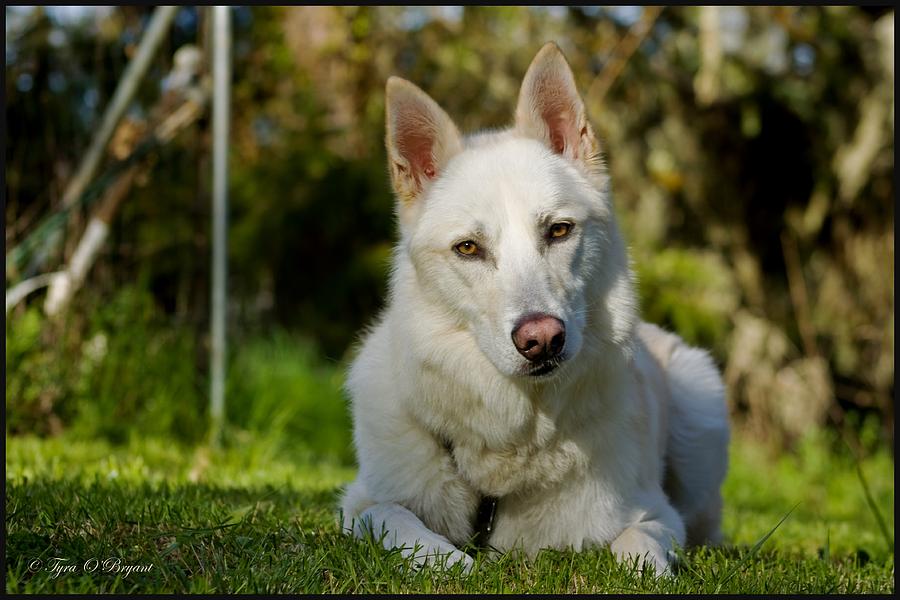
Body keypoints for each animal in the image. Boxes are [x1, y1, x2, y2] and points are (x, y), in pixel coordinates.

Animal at [342, 42, 728, 576]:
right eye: (468, 248)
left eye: (559, 230)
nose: (541, 339)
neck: (518, 436)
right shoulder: (360, 504)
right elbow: (406, 528)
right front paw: (460, 568)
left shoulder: (657, 514)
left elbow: (638, 548)